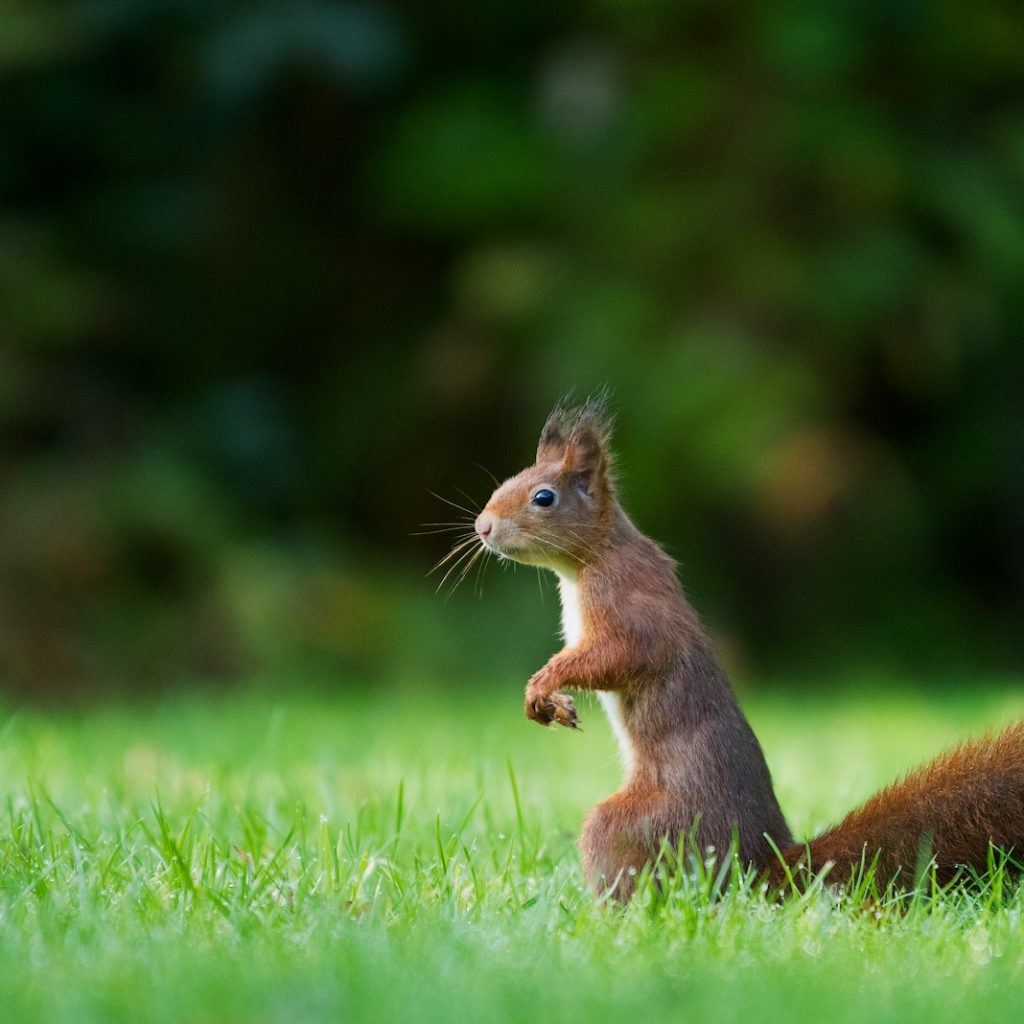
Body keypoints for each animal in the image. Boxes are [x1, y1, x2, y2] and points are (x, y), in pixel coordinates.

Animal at [470, 396, 1024, 899]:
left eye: (544, 498)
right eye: (506, 483)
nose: (482, 526)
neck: (592, 558)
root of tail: (759, 865)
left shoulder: (629, 607)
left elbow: (619, 657)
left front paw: (544, 683)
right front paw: (555, 700)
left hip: (641, 825)